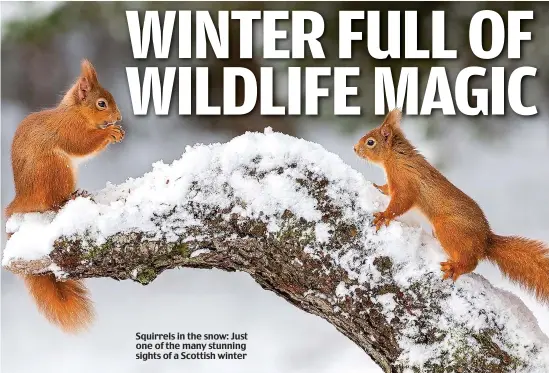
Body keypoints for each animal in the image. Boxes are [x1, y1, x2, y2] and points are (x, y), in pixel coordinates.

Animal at [5, 59, 125, 332]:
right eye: (101, 103)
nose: (119, 118)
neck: (75, 112)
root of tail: (23, 198)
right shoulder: (70, 131)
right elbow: (82, 144)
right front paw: (110, 133)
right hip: (55, 168)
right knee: (52, 203)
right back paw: (68, 199)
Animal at [354, 109, 548, 300]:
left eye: (370, 142)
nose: (354, 148)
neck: (397, 157)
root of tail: (485, 240)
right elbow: (387, 190)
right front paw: (377, 187)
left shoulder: (405, 183)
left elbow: (400, 203)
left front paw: (383, 215)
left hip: (447, 228)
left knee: (471, 262)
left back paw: (455, 267)